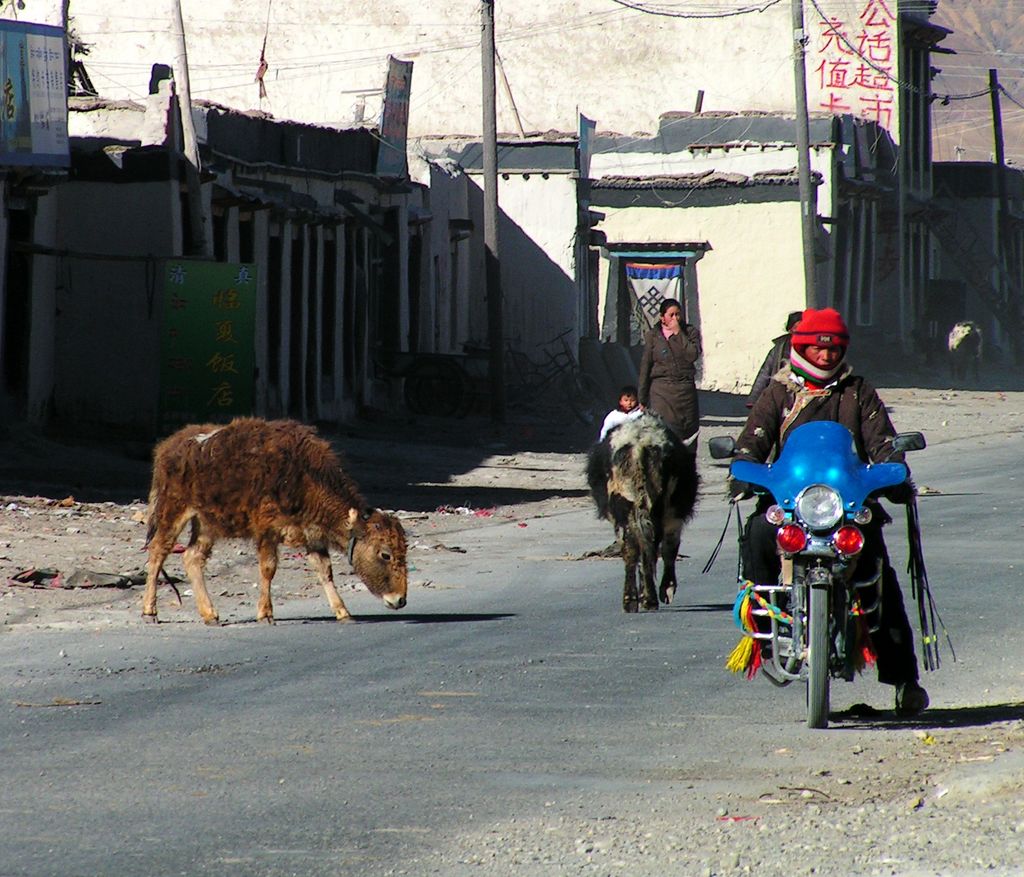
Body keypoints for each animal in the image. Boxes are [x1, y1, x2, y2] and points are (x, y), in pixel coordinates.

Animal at [144, 418, 407, 622]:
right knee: (158, 551)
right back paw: (150, 611)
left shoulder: (312, 537)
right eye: (385, 554)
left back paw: (210, 614)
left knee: (193, 557)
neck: (305, 478)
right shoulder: (267, 531)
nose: (400, 600)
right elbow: (268, 568)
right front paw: (266, 614)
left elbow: (325, 571)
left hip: (206, 524)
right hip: (173, 512)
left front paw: (343, 612)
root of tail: (170, 445)